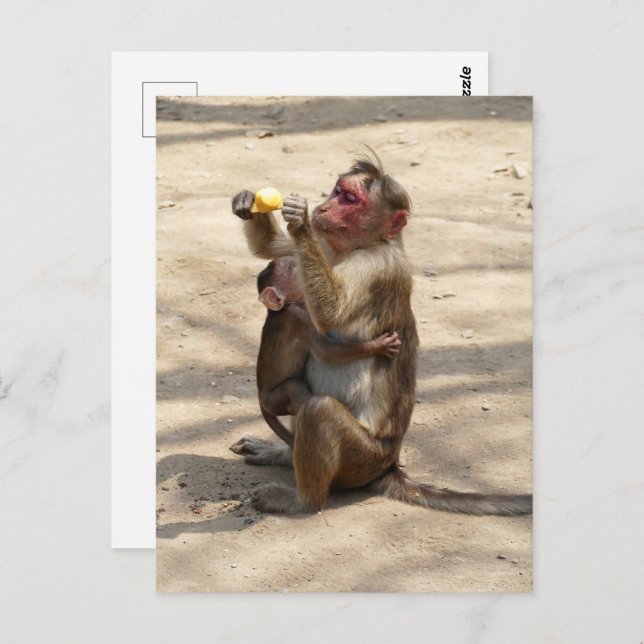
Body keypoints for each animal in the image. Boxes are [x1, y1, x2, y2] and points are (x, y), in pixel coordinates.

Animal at [254, 255, 401, 451]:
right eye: (295, 269)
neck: (284, 308)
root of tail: (259, 396)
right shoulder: (300, 319)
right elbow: (326, 352)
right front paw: (379, 346)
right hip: (271, 400)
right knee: (294, 389)